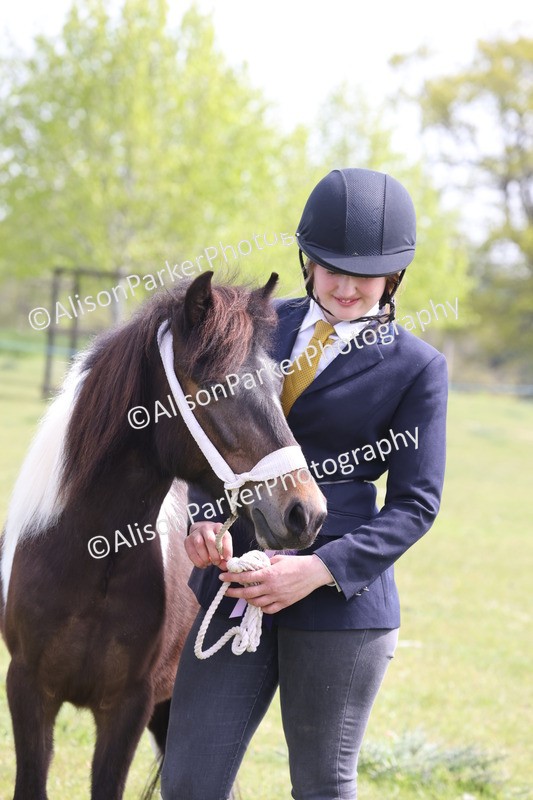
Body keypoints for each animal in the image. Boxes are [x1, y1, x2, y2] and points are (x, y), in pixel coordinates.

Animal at [0, 271, 327, 800]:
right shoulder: (27, 690)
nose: (306, 513)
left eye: (277, 382)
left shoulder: (129, 705)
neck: (92, 563)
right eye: (215, 387)